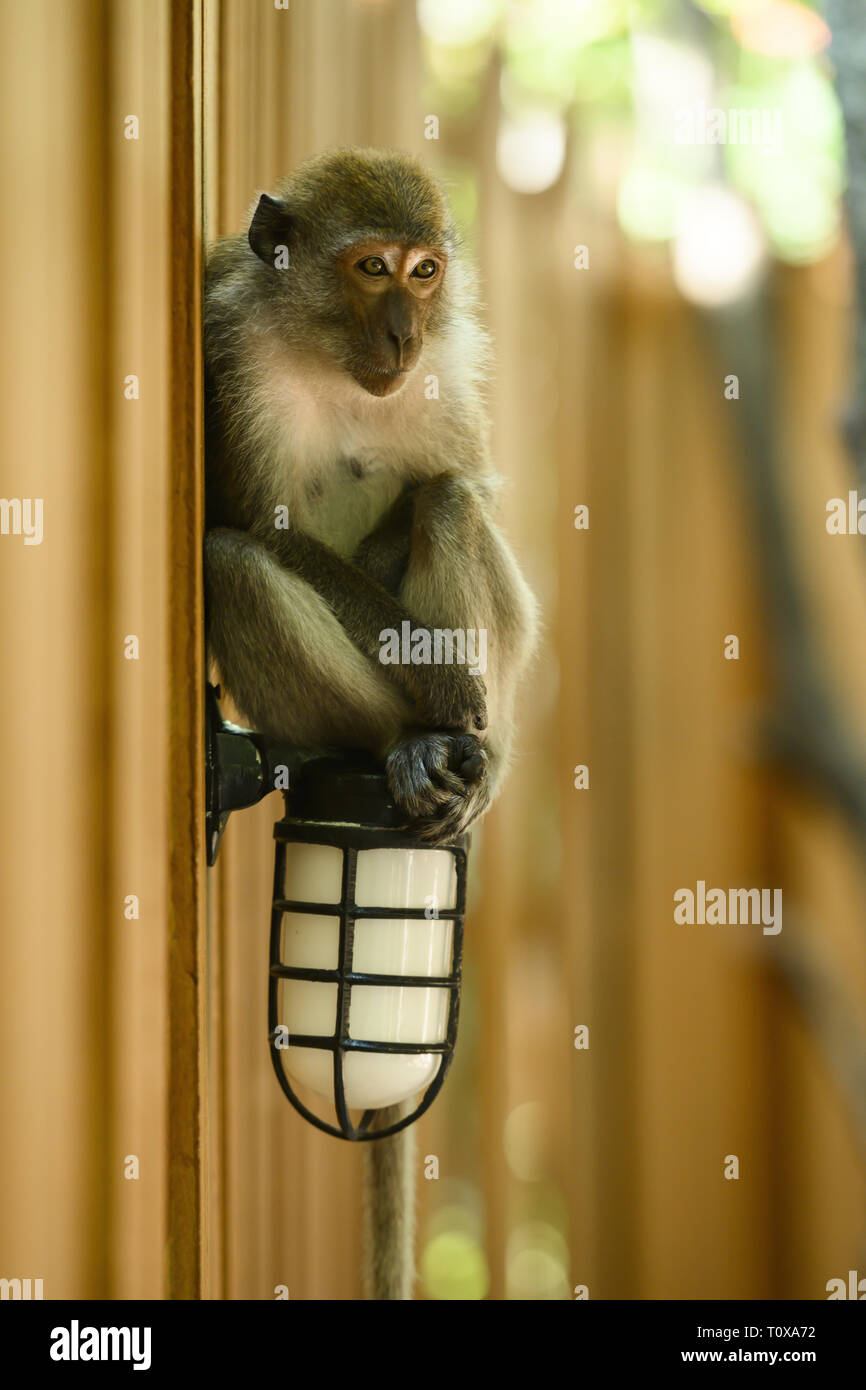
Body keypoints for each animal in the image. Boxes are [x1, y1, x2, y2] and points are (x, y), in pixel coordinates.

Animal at [203, 148, 538, 1298]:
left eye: (425, 271)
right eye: (370, 268)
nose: (402, 336)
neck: (325, 361)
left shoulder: (454, 369)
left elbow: (460, 495)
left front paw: (462, 705)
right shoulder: (227, 356)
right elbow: (249, 529)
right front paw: (442, 705)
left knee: (445, 504)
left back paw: (452, 754)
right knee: (234, 570)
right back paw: (398, 746)